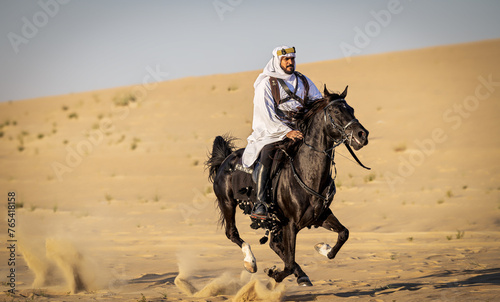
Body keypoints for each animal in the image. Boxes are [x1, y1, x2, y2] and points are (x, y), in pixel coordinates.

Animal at [205, 85, 370, 286]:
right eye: (336, 111)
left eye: (352, 109)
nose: (362, 135)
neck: (307, 173)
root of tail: (224, 160)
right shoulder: (290, 224)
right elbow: (289, 263)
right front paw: (275, 274)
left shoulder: (320, 215)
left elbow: (343, 234)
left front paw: (323, 248)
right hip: (228, 203)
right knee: (232, 233)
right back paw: (251, 262)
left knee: (273, 244)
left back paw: (301, 274)